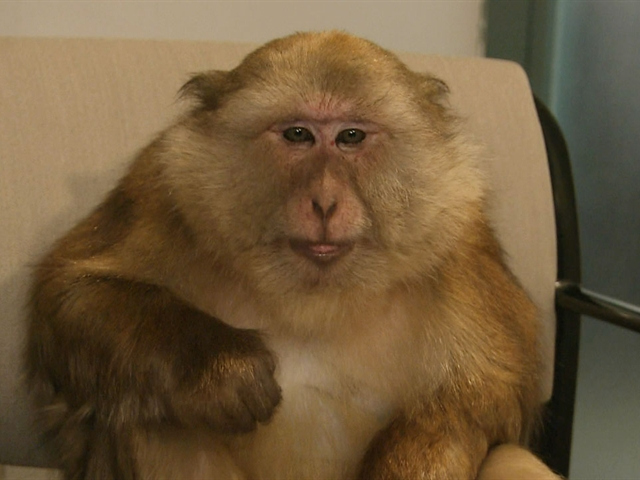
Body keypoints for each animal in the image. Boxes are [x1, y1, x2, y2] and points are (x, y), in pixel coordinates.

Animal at [26, 31, 561, 480]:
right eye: (298, 135)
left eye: (350, 137)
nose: (324, 201)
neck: (314, 297)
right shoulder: (164, 186)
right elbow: (71, 293)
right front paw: (222, 370)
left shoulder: (460, 238)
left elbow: (486, 398)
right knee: (149, 413)